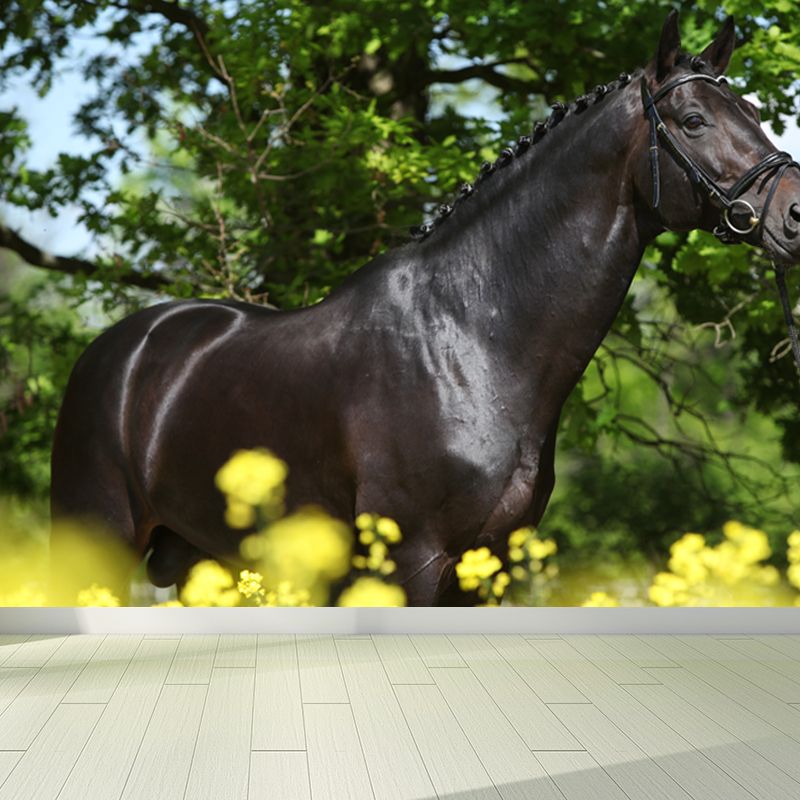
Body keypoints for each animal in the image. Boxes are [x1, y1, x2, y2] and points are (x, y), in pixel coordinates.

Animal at [51, 11, 800, 605]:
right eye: (694, 121)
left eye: (758, 115)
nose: (795, 214)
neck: (472, 341)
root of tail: (119, 348)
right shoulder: (409, 561)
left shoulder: (486, 570)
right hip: (101, 543)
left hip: (201, 561)